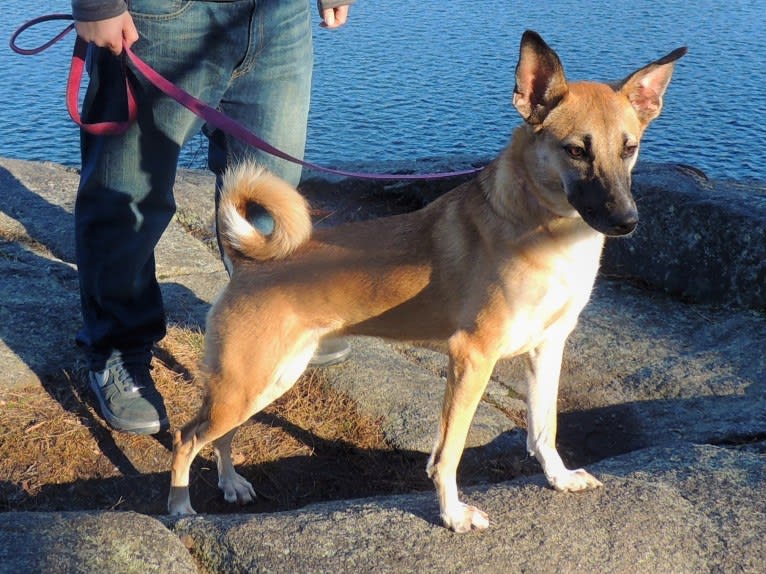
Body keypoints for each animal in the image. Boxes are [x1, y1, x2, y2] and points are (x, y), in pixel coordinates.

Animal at [166, 32, 684, 536]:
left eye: (629, 148)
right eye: (576, 150)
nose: (627, 221)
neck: (546, 232)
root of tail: (248, 260)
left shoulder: (547, 349)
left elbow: (544, 430)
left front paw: (558, 478)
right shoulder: (471, 358)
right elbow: (449, 452)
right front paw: (453, 515)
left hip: (267, 379)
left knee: (220, 434)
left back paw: (231, 483)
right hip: (247, 380)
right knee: (188, 435)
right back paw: (180, 508)